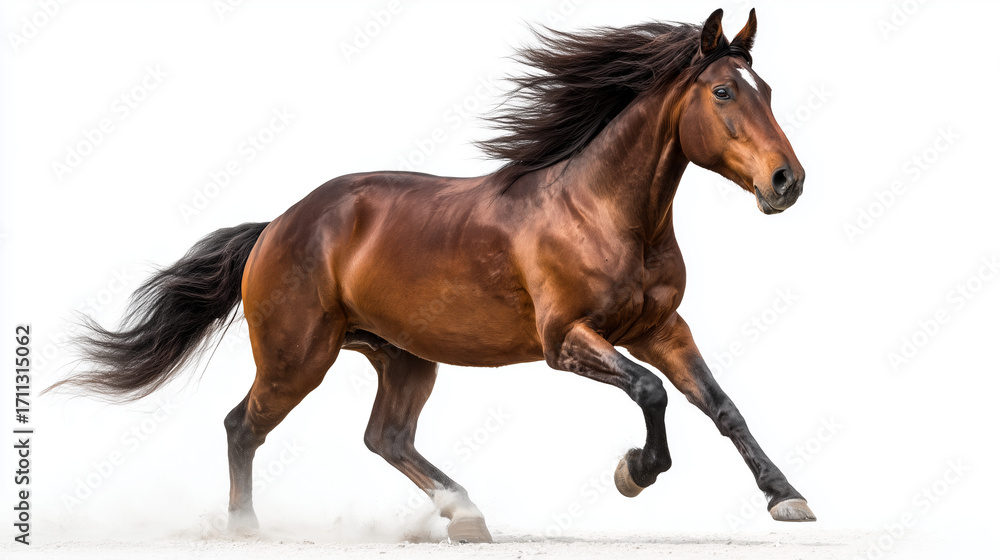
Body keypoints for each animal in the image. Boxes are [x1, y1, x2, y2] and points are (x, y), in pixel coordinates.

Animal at [50, 8, 813, 543]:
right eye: (724, 91)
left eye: (770, 90)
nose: (788, 182)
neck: (602, 211)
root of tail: (276, 226)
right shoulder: (566, 340)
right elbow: (651, 392)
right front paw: (635, 472)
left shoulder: (660, 327)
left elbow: (721, 405)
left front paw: (787, 497)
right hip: (300, 356)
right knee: (244, 424)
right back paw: (246, 528)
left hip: (404, 357)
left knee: (386, 437)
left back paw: (465, 513)